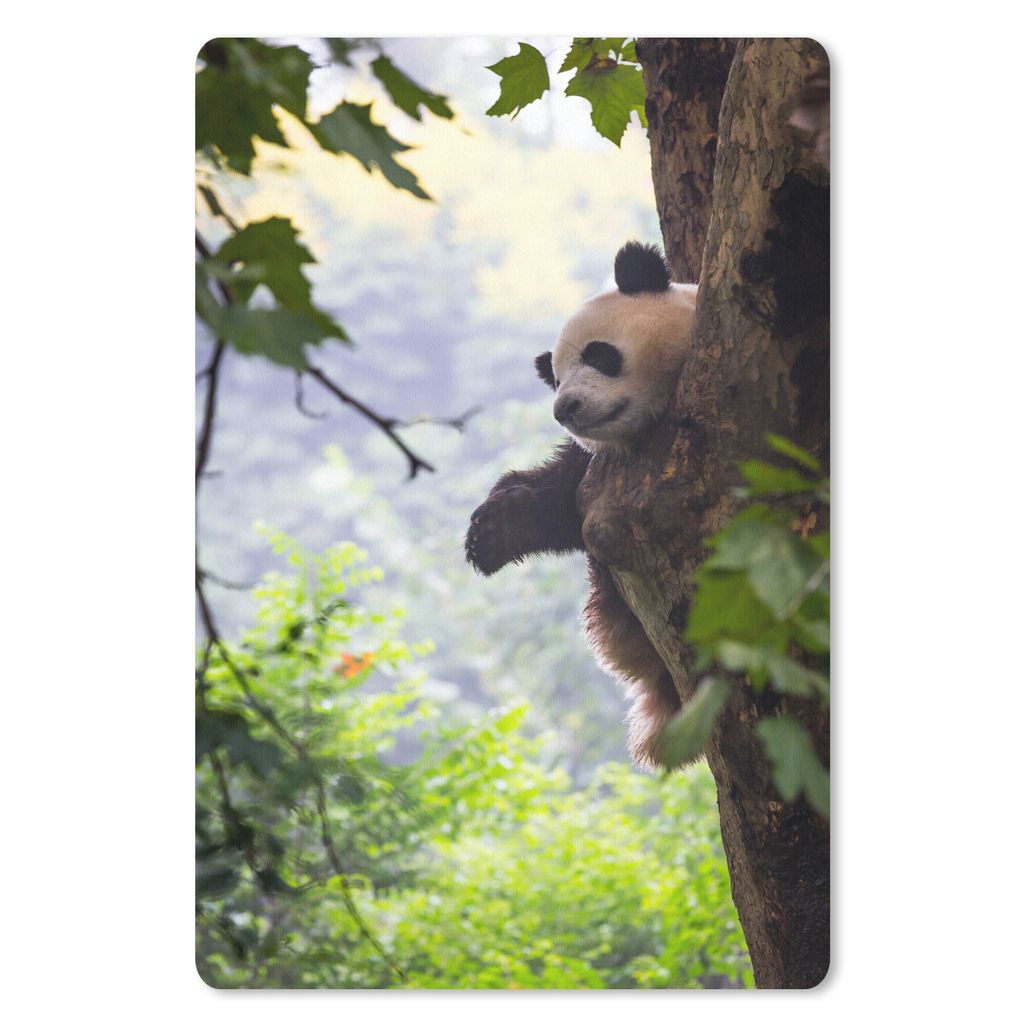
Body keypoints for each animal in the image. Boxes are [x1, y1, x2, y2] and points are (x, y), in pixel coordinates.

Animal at [465, 242, 698, 766]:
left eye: (598, 354)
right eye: (555, 379)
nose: (565, 409)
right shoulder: (599, 475)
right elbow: (564, 501)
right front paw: (492, 531)